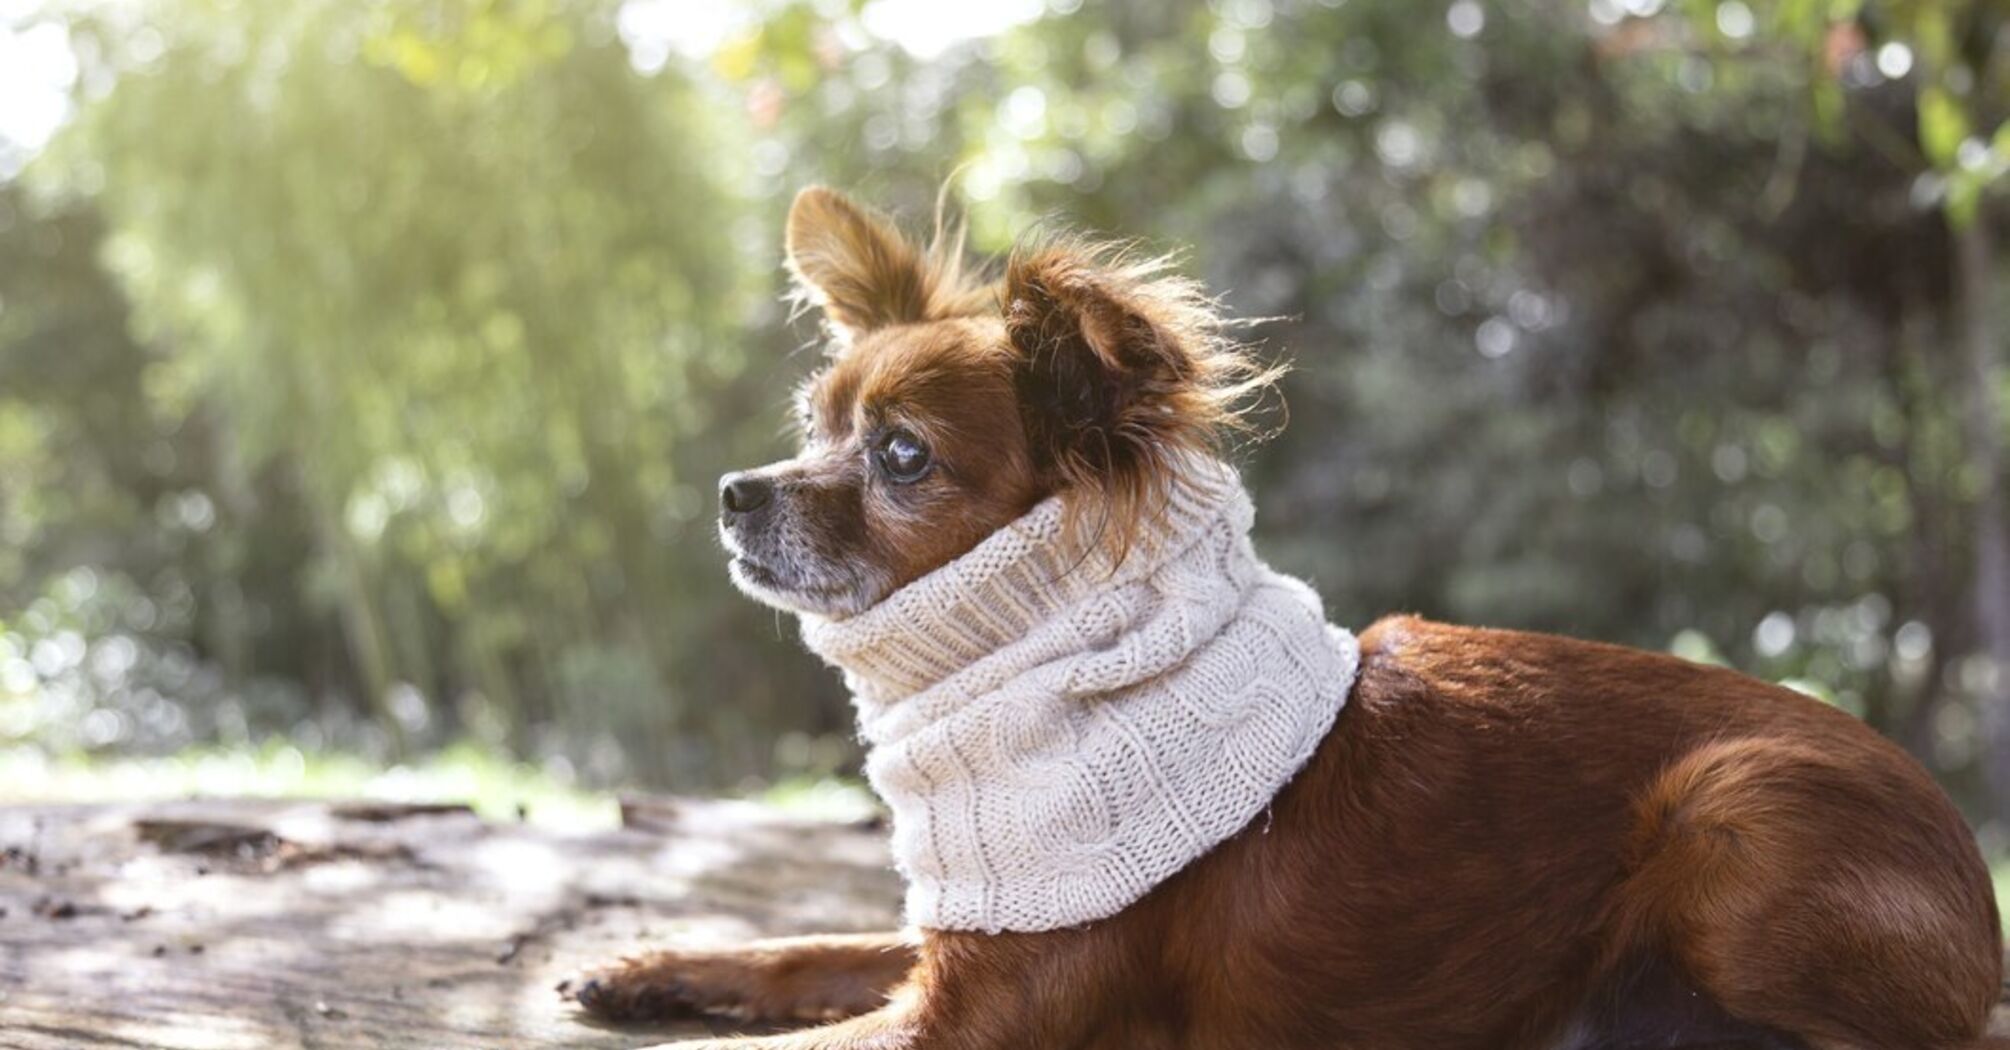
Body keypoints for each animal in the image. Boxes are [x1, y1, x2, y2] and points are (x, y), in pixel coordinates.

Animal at [570, 188, 2010, 1045]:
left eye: (900, 457)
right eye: (812, 428)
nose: (734, 492)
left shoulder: (981, 1011)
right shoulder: (966, 936)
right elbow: (804, 946)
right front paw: (656, 962)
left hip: (1733, 815)